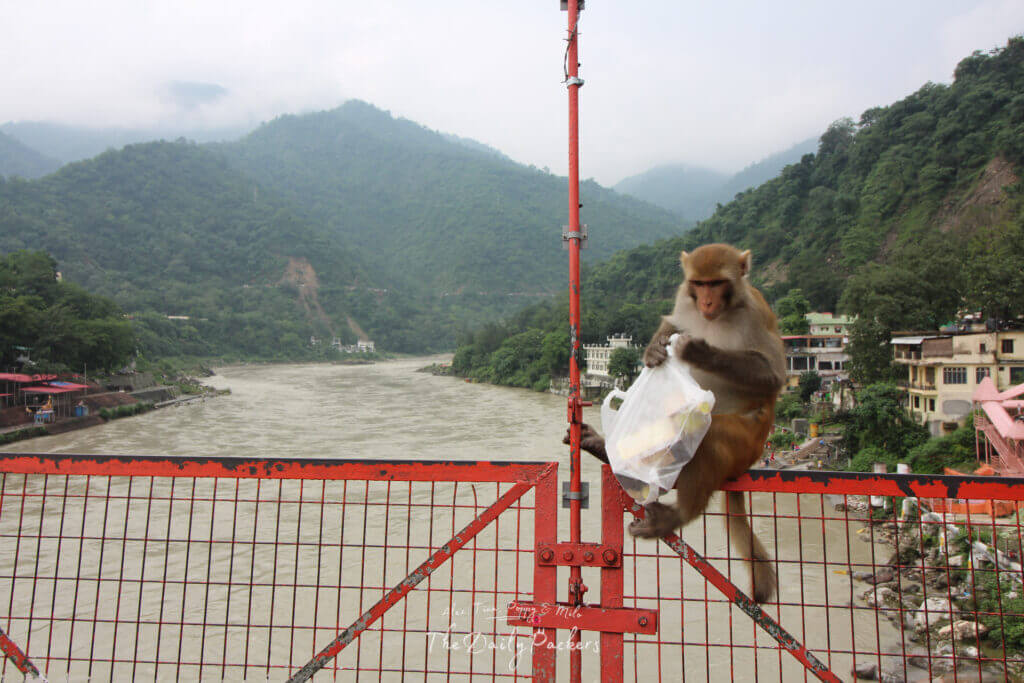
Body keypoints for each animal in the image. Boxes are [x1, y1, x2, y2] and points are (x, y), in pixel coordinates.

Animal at [571, 243, 785, 603]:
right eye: (699, 284)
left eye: (717, 283)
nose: (707, 303)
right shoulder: (684, 300)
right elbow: (672, 320)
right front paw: (654, 349)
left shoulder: (754, 313)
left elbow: (773, 376)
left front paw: (699, 351)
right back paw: (606, 449)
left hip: (747, 441)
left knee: (708, 438)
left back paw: (681, 513)